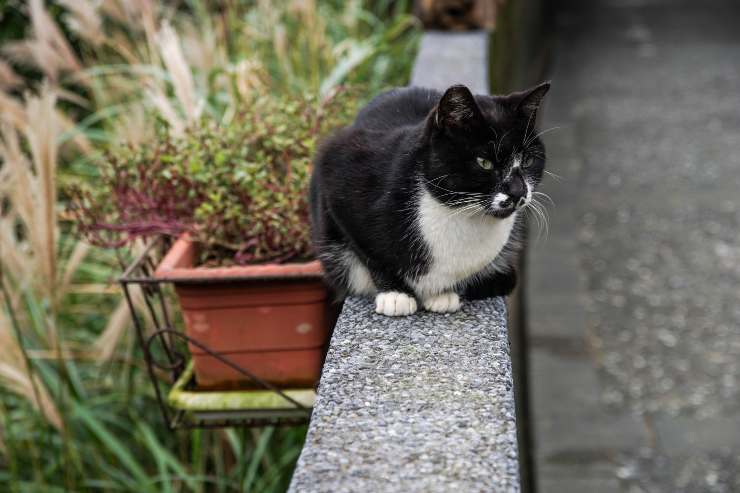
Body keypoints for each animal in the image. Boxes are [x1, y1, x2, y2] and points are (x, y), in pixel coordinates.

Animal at [308, 81, 548, 316]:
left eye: (527, 161)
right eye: (485, 163)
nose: (518, 192)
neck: (457, 212)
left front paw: (443, 294)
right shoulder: (339, 173)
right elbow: (369, 253)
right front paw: (395, 294)